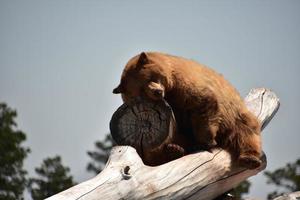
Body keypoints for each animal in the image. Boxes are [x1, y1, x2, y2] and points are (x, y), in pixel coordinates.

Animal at [112, 51, 260, 169]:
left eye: (150, 78)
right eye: (141, 90)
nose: (157, 92)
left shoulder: (183, 83)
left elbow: (203, 102)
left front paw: (206, 142)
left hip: (234, 113)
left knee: (245, 131)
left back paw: (250, 159)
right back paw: (174, 150)